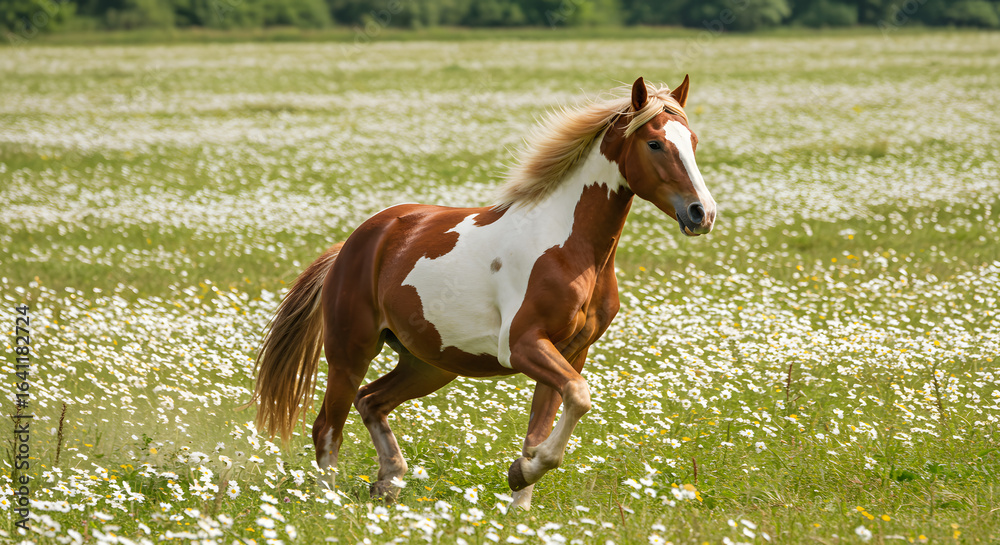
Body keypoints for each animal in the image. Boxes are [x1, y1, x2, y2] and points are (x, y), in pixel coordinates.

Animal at [249, 76, 716, 511]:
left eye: (692, 141)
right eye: (654, 143)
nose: (702, 213)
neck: (570, 247)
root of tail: (353, 243)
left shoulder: (570, 352)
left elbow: (545, 424)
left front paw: (519, 501)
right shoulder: (523, 345)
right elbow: (578, 399)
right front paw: (519, 474)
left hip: (428, 364)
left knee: (371, 402)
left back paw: (388, 482)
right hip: (350, 350)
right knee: (328, 426)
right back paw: (329, 502)